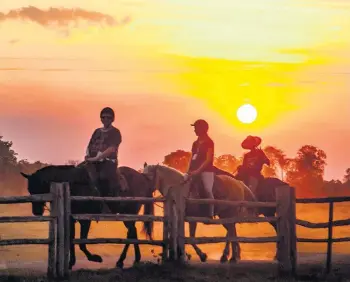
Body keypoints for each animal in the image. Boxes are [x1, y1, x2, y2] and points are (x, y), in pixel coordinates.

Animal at [20, 164, 154, 270]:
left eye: (39, 188)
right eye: (29, 189)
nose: (37, 212)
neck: (73, 185)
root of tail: (143, 178)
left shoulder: (85, 220)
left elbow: (82, 243)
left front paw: (95, 258)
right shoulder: (72, 219)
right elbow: (71, 239)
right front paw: (71, 262)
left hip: (129, 213)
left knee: (131, 232)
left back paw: (122, 260)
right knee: (133, 232)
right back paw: (135, 258)